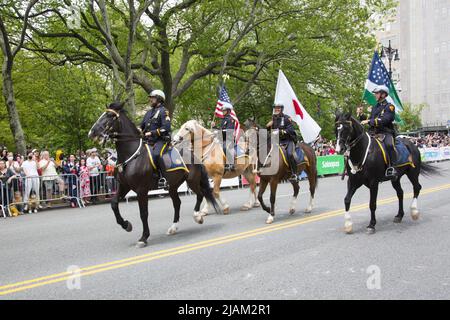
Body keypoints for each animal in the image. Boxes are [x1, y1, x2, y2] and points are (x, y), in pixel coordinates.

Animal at [88, 102, 220, 248]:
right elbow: (113, 204)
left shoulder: (141, 190)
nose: (91, 133)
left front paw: (143, 237)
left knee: (200, 195)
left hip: (192, 181)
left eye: (110, 116)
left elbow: (143, 213)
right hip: (173, 186)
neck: (131, 155)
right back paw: (173, 227)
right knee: (177, 203)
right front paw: (126, 225)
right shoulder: (124, 186)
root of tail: (192, 153)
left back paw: (197, 216)